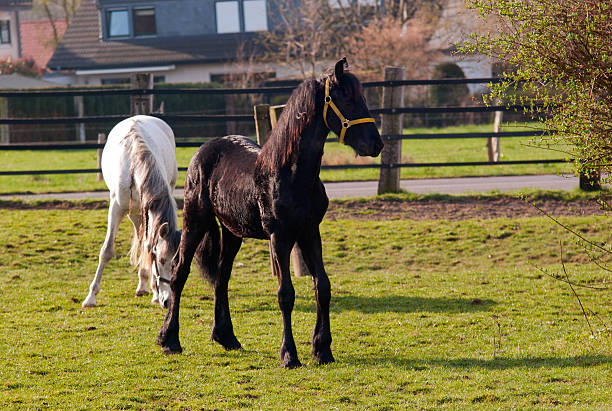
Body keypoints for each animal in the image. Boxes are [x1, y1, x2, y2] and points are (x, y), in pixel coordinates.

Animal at [82, 115, 182, 308]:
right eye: (161, 260)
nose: (168, 301)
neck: (134, 163)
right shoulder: (116, 208)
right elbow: (107, 250)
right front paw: (91, 297)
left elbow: (149, 246)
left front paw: (155, 292)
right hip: (134, 213)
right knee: (142, 240)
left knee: (145, 242)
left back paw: (145, 286)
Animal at [155, 57, 380, 366]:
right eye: (345, 98)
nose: (376, 144)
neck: (290, 174)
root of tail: (204, 150)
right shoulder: (279, 237)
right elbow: (286, 294)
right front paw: (289, 355)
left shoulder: (310, 232)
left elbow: (322, 286)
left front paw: (322, 349)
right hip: (195, 220)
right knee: (180, 271)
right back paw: (169, 340)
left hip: (232, 232)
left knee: (222, 277)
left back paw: (226, 337)